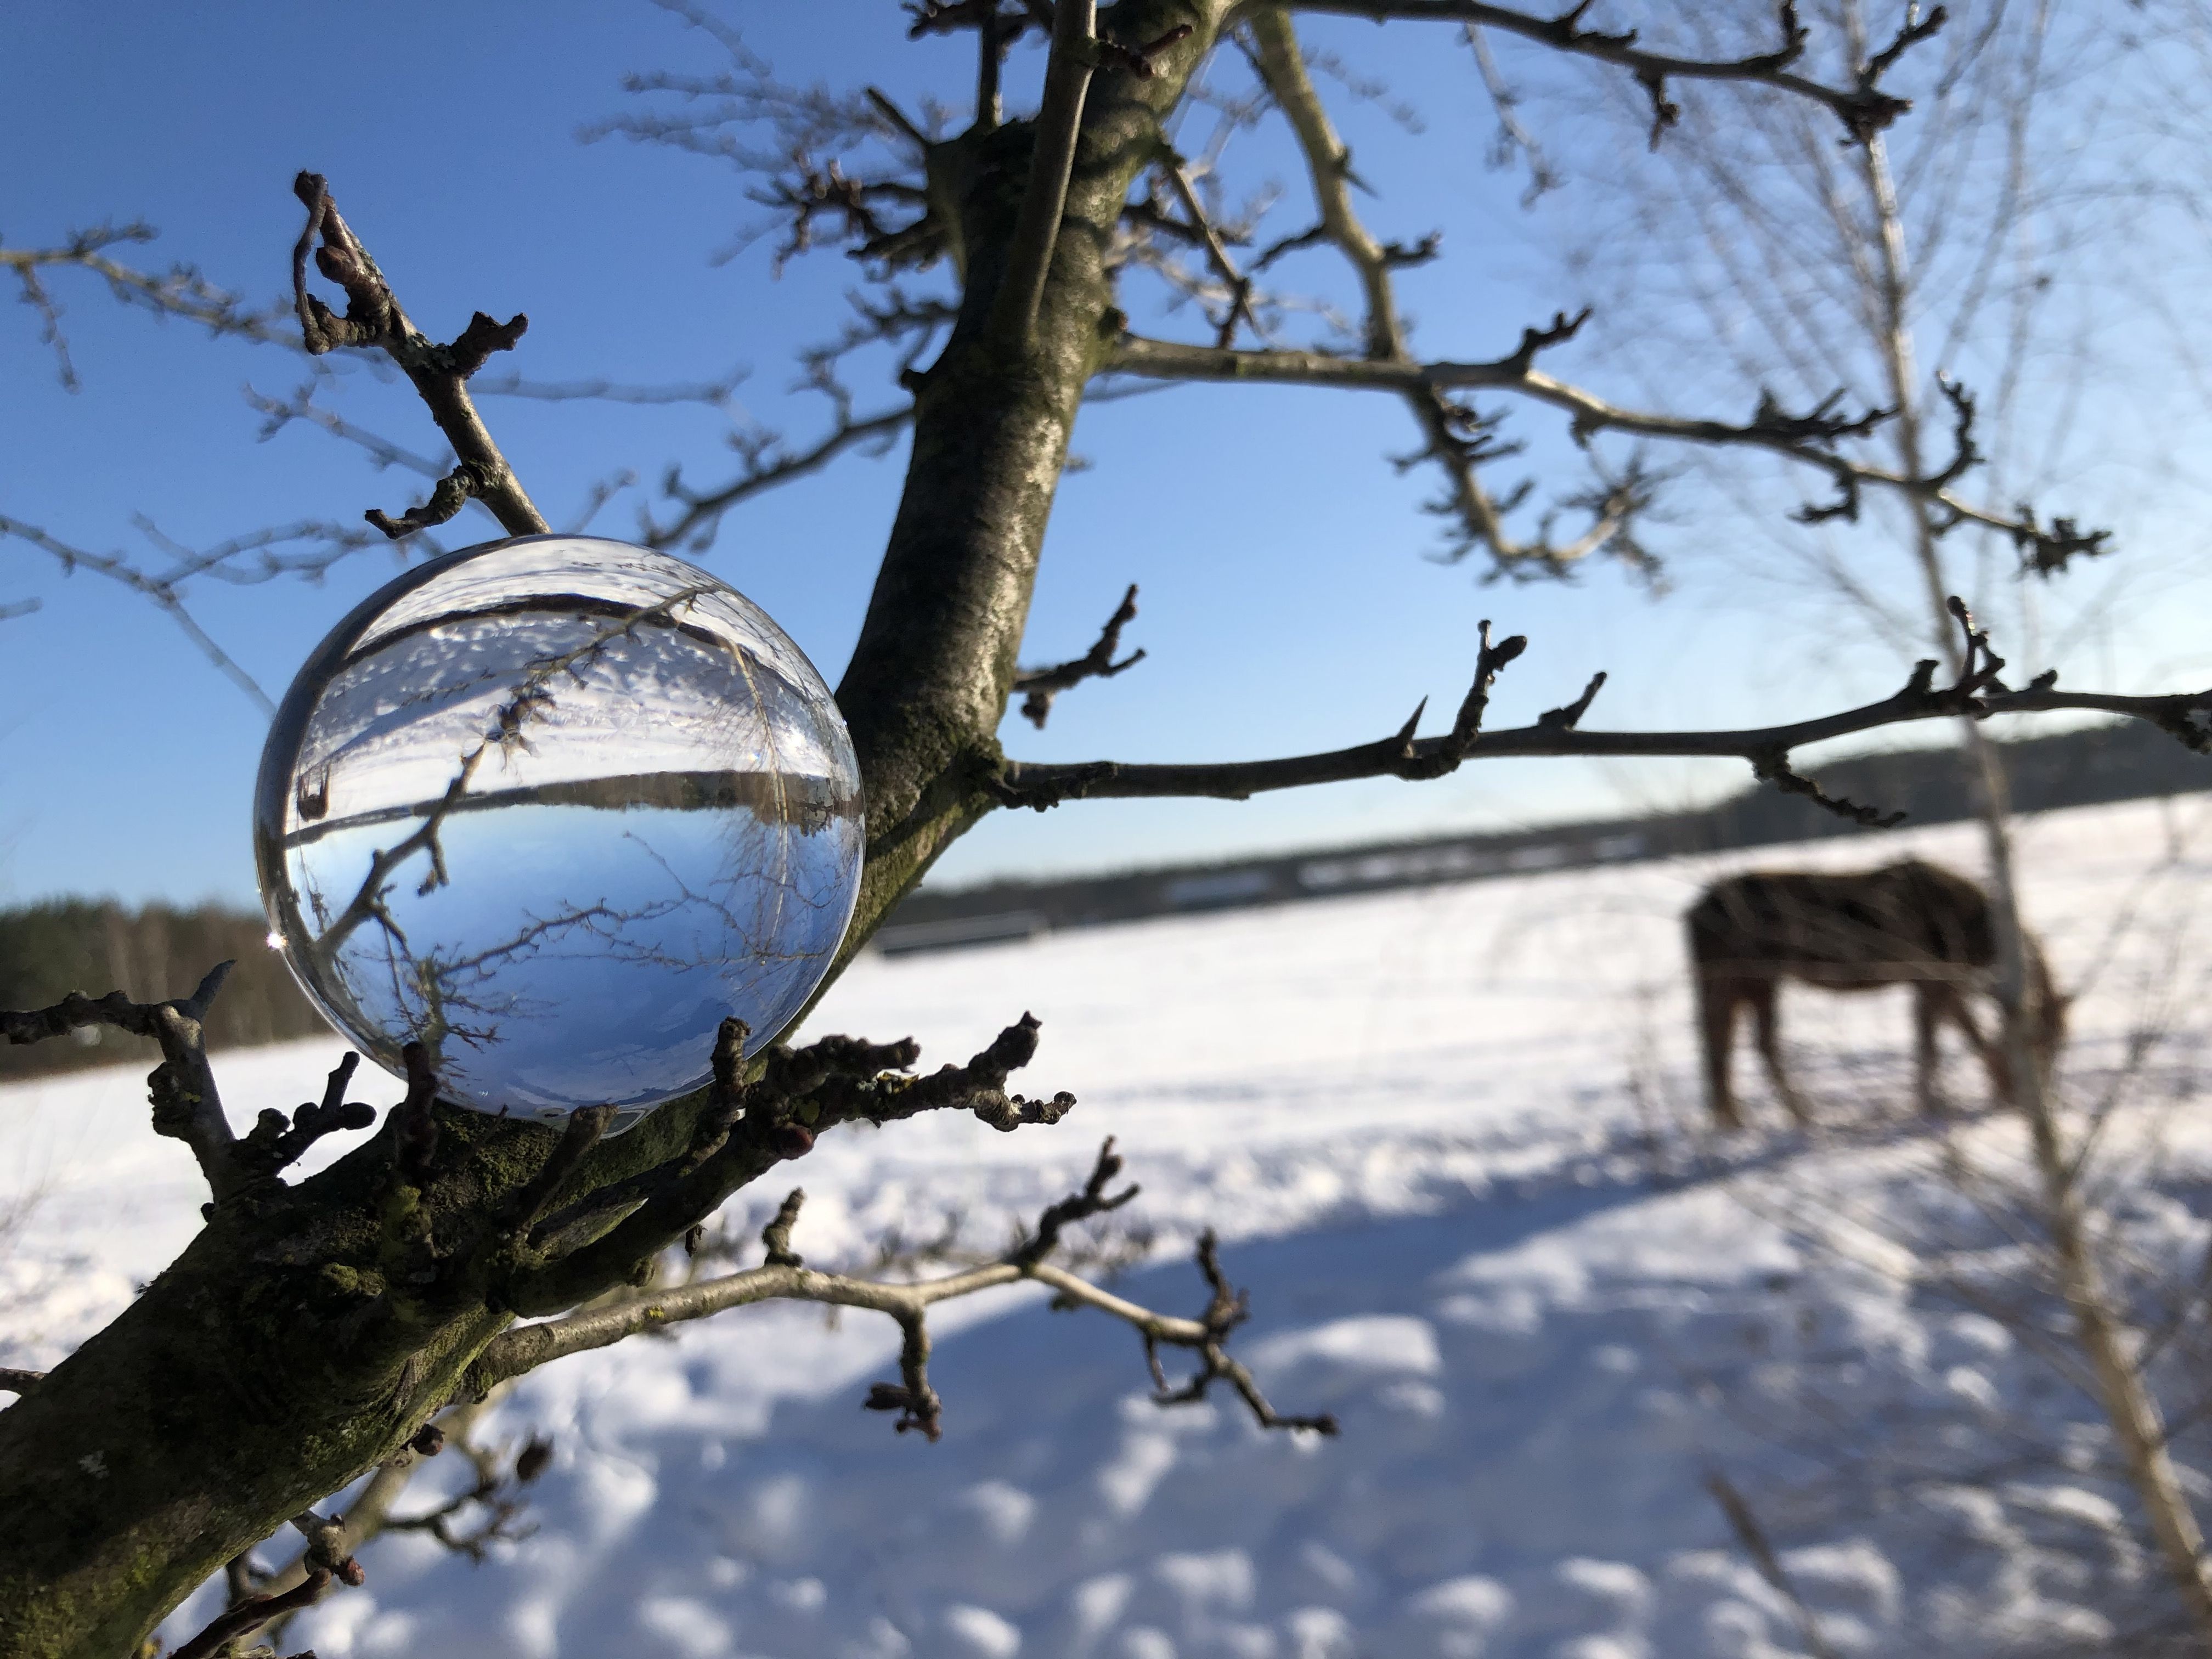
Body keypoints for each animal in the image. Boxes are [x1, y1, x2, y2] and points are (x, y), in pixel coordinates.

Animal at [1681, 858, 2061, 1132]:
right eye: (2041, 1042)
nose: (2039, 1101)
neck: (1973, 936)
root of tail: (1690, 914)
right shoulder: (1933, 978)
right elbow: (1940, 1042)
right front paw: (1937, 1104)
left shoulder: (1933, 981)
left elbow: (1955, 1034)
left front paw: (1994, 1091)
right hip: (1751, 977)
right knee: (1751, 1043)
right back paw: (1794, 1115)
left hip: (1739, 982)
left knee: (1725, 1043)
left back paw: (1736, 1120)